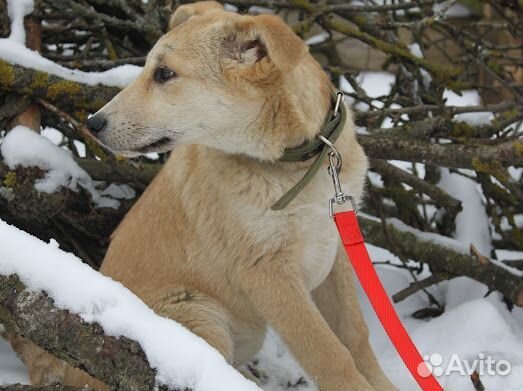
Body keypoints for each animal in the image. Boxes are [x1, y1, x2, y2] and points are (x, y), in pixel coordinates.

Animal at [11, 2, 398, 388]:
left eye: (164, 74)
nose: (93, 124)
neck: (297, 168)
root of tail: (69, 370)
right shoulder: (265, 270)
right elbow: (327, 353)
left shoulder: (335, 248)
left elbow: (354, 336)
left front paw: (383, 384)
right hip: (197, 310)